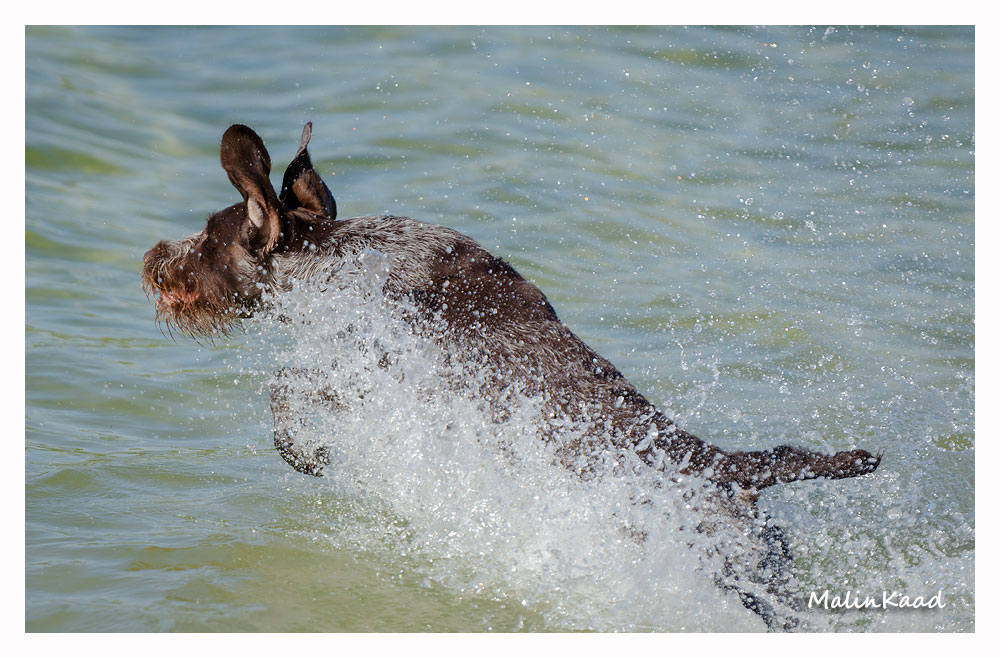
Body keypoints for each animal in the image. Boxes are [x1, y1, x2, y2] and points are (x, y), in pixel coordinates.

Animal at [142, 123, 882, 629]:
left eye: (204, 238)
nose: (151, 259)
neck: (335, 260)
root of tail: (734, 469)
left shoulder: (373, 367)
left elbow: (284, 390)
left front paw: (310, 453)